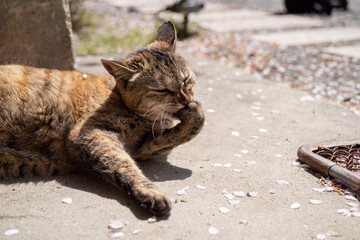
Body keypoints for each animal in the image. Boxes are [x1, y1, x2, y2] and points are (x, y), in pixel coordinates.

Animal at [0, 21, 205, 215]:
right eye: (163, 90)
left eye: (186, 80)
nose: (186, 99)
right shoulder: (93, 134)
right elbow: (124, 164)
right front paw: (151, 194)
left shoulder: (141, 146)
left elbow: (182, 132)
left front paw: (193, 112)